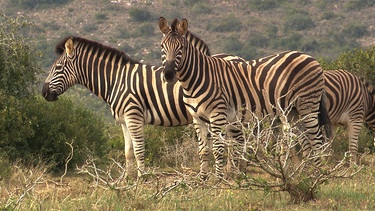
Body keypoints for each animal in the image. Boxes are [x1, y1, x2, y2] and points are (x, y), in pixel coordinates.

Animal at [42, 32, 210, 178]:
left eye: (57, 68)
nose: (43, 92)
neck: (115, 80)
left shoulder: (133, 117)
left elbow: (139, 150)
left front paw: (141, 178)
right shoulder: (124, 121)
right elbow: (128, 151)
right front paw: (128, 179)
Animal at [159, 16, 332, 180]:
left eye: (181, 47)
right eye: (162, 47)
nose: (168, 74)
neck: (197, 79)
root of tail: (310, 57)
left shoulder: (217, 114)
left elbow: (218, 149)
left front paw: (219, 180)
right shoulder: (197, 118)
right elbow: (203, 150)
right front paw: (202, 179)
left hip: (308, 106)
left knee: (316, 140)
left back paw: (320, 175)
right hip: (292, 111)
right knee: (305, 140)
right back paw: (307, 174)